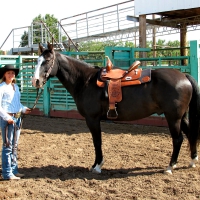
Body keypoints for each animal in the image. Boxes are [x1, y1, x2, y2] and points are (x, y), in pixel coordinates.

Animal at [32, 43, 199, 174]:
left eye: (47, 61)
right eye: (37, 60)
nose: (35, 81)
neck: (85, 81)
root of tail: (184, 76)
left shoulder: (92, 119)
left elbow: (97, 141)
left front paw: (97, 166)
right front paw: (96, 164)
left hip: (173, 117)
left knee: (178, 139)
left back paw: (170, 167)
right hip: (181, 116)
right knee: (190, 133)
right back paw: (192, 160)